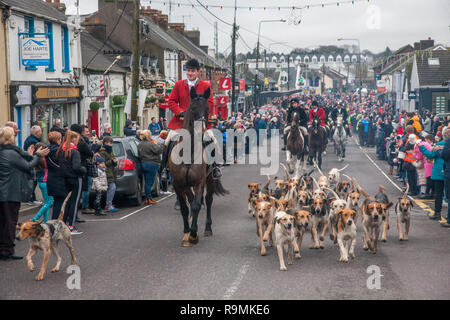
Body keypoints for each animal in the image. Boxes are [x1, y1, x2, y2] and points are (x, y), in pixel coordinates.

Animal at [168, 87, 229, 248]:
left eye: (208, 109)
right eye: (193, 108)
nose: (201, 131)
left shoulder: (199, 182)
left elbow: (195, 205)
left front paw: (193, 234)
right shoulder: (178, 184)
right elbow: (184, 207)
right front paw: (186, 230)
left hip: (210, 179)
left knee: (207, 200)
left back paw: (207, 228)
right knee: (191, 200)